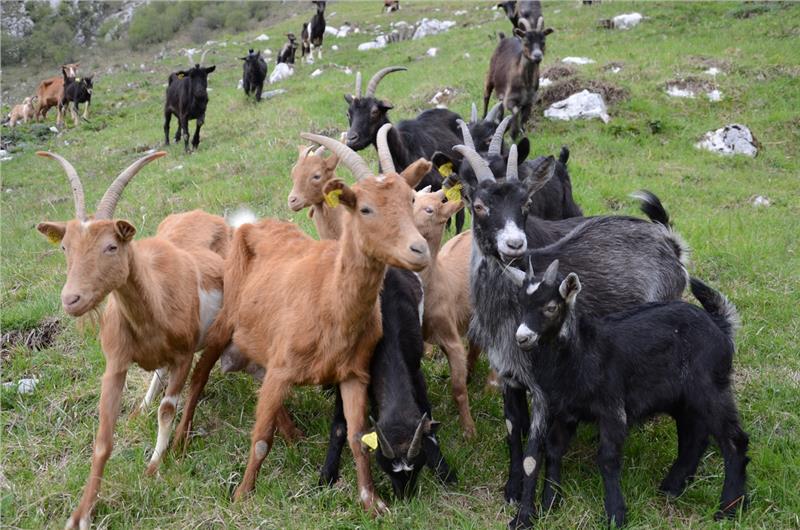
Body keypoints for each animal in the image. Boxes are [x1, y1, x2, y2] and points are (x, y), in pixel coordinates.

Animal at [171, 131, 432, 514]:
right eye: (365, 209)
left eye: (410, 198)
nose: (419, 249)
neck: (329, 302)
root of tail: (252, 224)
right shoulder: (281, 370)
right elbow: (260, 439)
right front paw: (242, 495)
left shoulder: (353, 374)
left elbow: (356, 437)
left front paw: (372, 501)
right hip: (225, 321)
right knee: (199, 378)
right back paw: (178, 442)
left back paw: (293, 435)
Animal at [453, 146, 689, 509]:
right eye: (478, 205)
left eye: (526, 203)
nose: (514, 244)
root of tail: (671, 246)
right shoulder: (509, 373)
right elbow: (513, 430)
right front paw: (511, 489)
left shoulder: (542, 386)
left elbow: (535, 449)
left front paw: (535, 504)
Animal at [505, 259, 749, 528]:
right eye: (521, 305)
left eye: (551, 307)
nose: (522, 338)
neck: (583, 352)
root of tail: (721, 327)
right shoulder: (565, 411)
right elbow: (553, 449)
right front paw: (550, 504)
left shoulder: (611, 407)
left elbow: (608, 458)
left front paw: (615, 514)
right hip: (683, 398)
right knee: (694, 436)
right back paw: (672, 487)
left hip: (710, 388)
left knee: (734, 441)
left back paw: (728, 508)